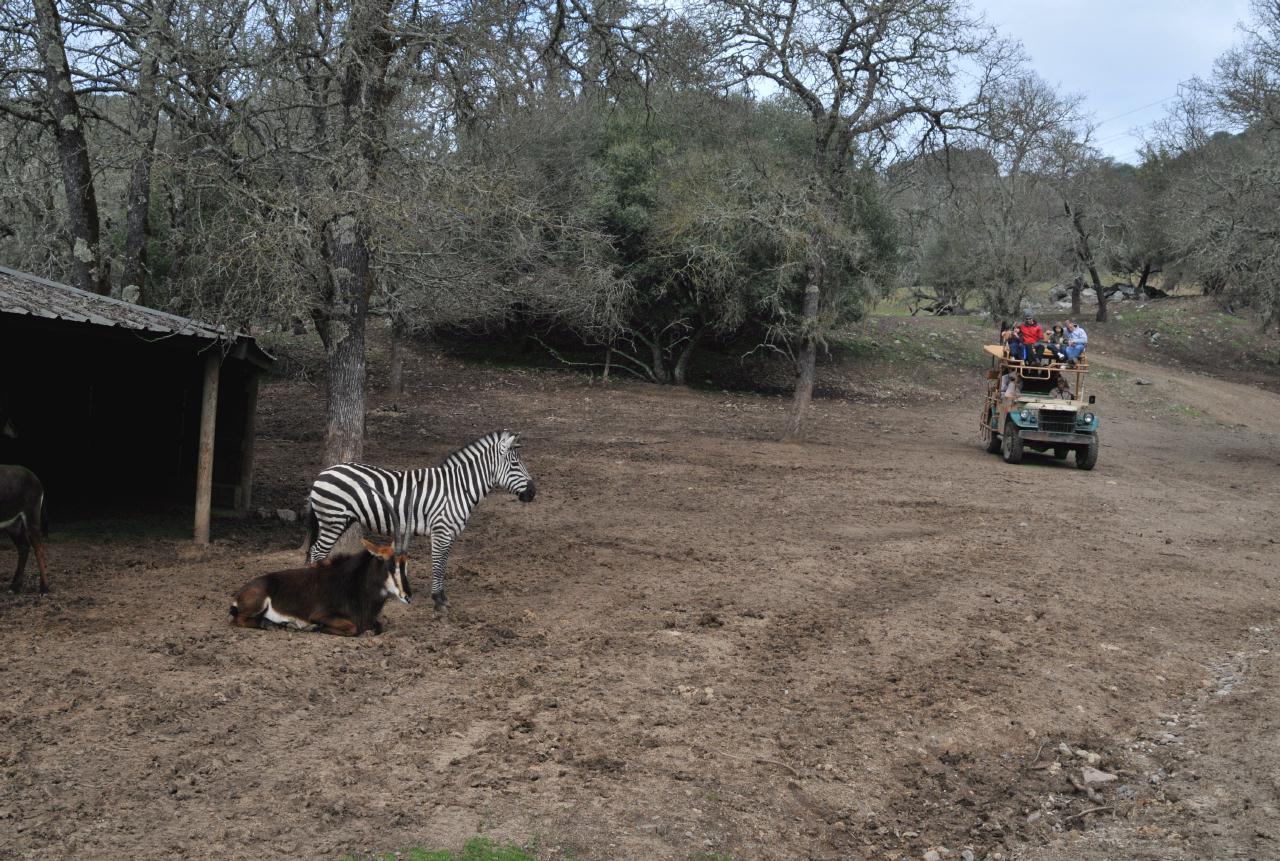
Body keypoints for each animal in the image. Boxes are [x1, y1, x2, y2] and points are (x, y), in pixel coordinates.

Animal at [0, 463, 48, 591]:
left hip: (31, 515)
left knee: (38, 548)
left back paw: (44, 588)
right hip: (13, 524)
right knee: (23, 547)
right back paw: (14, 586)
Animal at [230, 539, 409, 634]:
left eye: (405, 565)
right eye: (390, 565)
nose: (407, 596)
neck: (354, 584)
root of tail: (238, 594)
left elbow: (379, 626)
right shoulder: (321, 614)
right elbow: (353, 628)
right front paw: (316, 627)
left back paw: (282, 624)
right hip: (258, 604)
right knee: (239, 620)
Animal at [304, 427, 535, 603]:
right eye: (515, 464)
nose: (533, 492)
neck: (458, 488)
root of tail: (323, 473)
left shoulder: (449, 532)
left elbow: (444, 563)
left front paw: (441, 595)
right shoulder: (441, 530)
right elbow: (438, 563)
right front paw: (438, 599)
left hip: (339, 520)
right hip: (333, 520)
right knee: (317, 552)